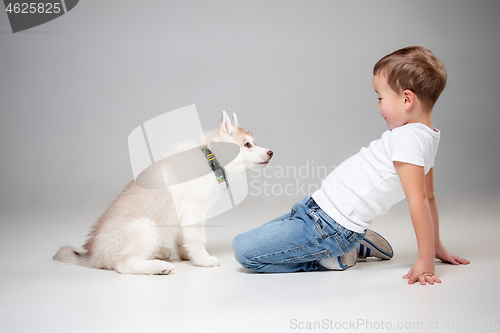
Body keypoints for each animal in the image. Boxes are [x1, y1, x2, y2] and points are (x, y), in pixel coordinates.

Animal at [53, 110, 274, 274]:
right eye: (247, 145)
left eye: (254, 142)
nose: (271, 152)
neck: (211, 160)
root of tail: (93, 255)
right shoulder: (193, 210)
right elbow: (197, 238)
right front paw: (202, 259)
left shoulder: (183, 215)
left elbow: (183, 238)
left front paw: (186, 254)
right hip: (145, 228)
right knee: (124, 264)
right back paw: (158, 267)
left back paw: (160, 253)